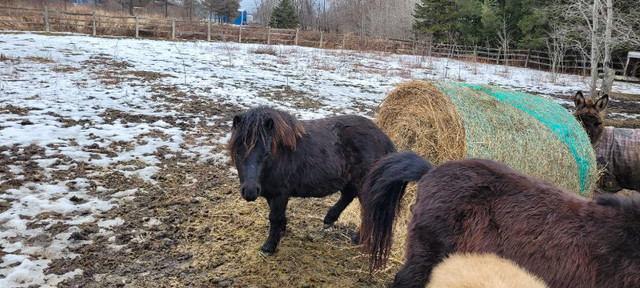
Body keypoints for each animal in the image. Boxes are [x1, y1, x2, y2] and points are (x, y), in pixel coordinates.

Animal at [225, 106, 396, 254]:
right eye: (237, 152)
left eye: (267, 153)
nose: (250, 191)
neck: (280, 154)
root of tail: (383, 137)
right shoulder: (270, 193)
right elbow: (279, 216)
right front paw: (281, 232)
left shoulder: (280, 194)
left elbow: (274, 217)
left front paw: (269, 247)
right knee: (347, 195)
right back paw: (329, 220)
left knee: (369, 210)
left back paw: (357, 238)